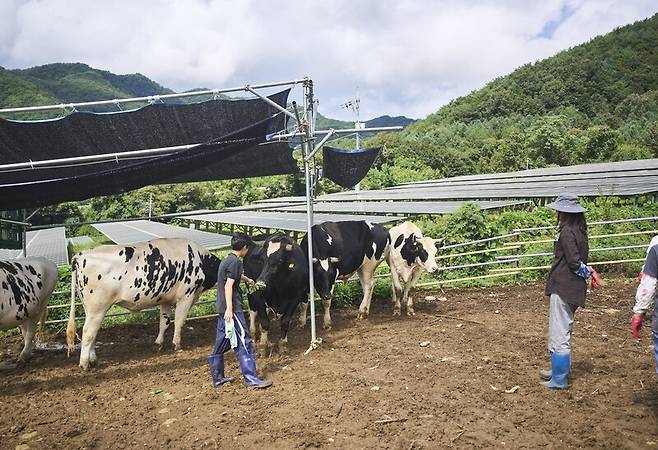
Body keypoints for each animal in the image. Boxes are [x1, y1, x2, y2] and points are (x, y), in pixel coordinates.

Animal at [67, 237, 220, 370]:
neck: (200, 259)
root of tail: (80, 255)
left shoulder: (166, 300)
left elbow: (164, 323)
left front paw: (158, 344)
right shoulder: (186, 296)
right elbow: (179, 322)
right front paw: (177, 345)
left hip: (90, 309)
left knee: (93, 333)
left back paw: (93, 360)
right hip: (97, 308)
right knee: (88, 333)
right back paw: (84, 364)